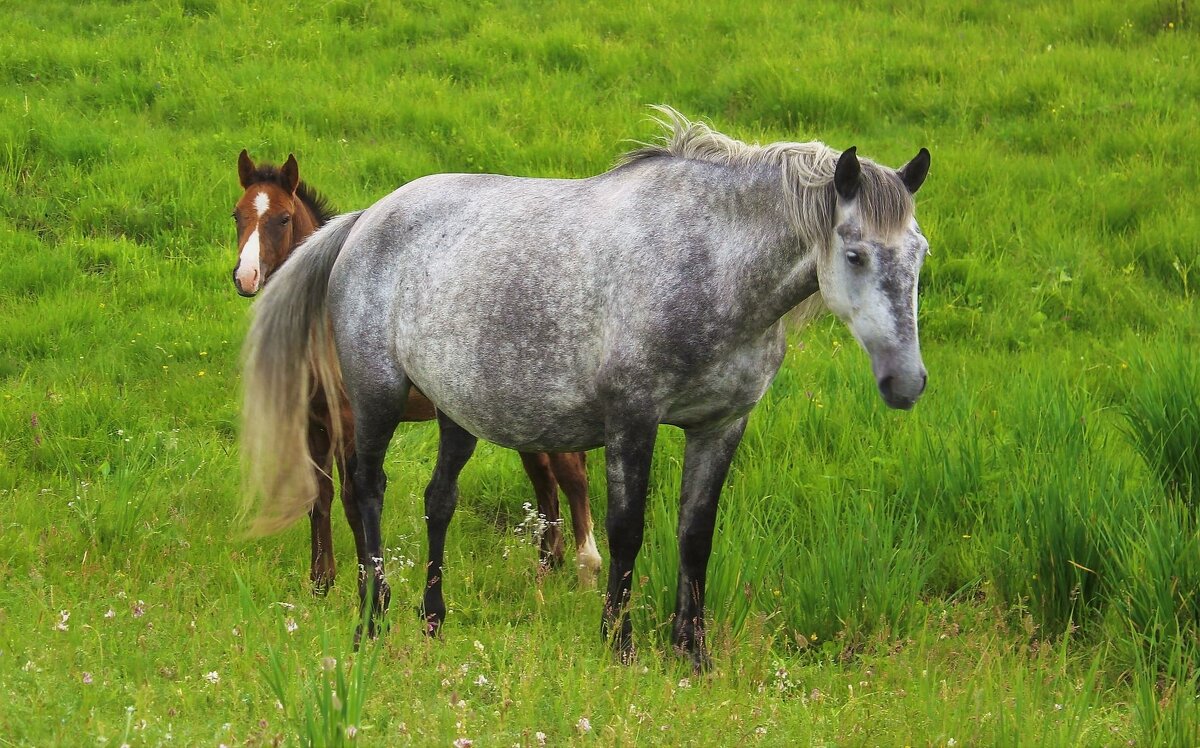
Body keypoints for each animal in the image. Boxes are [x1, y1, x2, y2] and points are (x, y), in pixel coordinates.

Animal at [231, 150, 600, 597]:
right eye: (237, 215)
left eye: (283, 219)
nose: (246, 277)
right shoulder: (313, 421)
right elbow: (320, 495)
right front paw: (321, 583)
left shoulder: (352, 422)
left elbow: (353, 498)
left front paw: (366, 584)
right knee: (544, 480)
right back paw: (547, 568)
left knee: (571, 475)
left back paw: (585, 573)